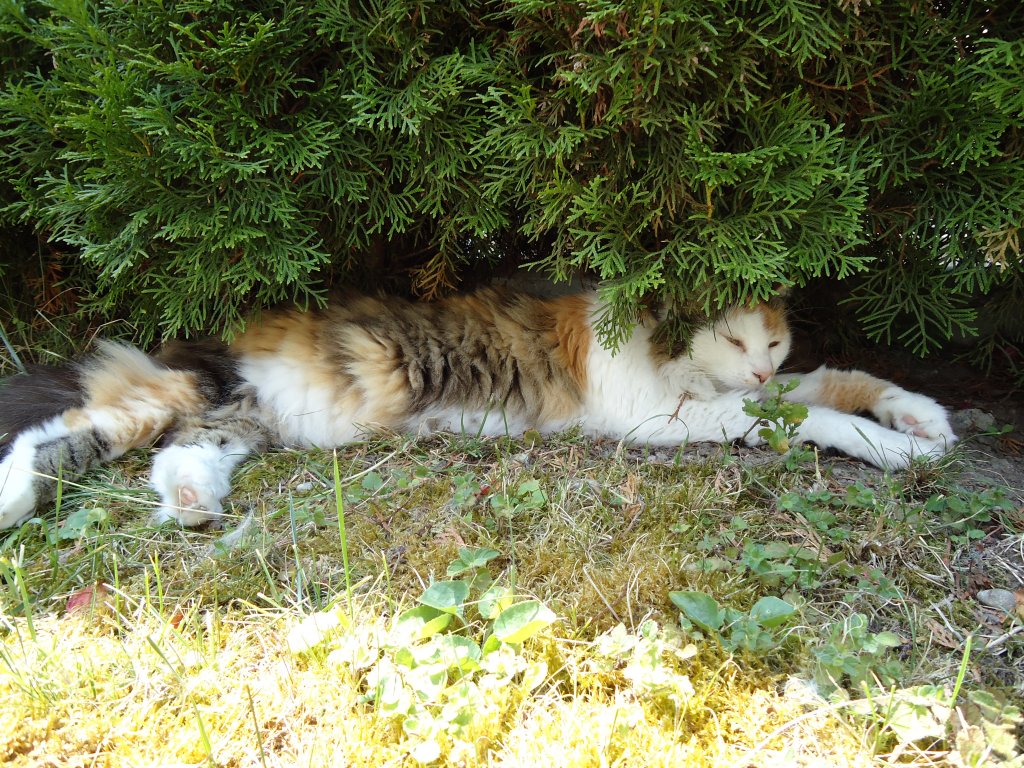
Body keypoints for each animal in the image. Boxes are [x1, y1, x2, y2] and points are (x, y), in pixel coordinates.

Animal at [2, 288, 958, 528]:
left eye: (774, 341)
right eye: (732, 337)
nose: (757, 369)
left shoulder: (743, 395)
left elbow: (834, 383)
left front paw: (919, 421)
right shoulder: (668, 419)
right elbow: (808, 420)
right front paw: (893, 447)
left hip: (234, 424)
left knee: (180, 456)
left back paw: (193, 501)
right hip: (178, 397)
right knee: (60, 439)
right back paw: (13, 500)